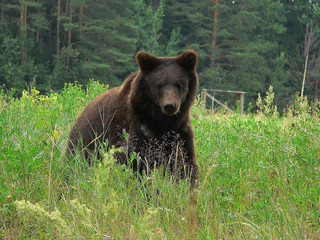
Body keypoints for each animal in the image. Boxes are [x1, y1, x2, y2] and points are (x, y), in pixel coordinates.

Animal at [66, 49, 199, 188]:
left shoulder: (180, 131)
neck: (161, 122)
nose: (170, 106)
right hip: (86, 142)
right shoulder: (136, 128)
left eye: (178, 84)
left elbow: (183, 163)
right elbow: (134, 163)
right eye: (159, 85)